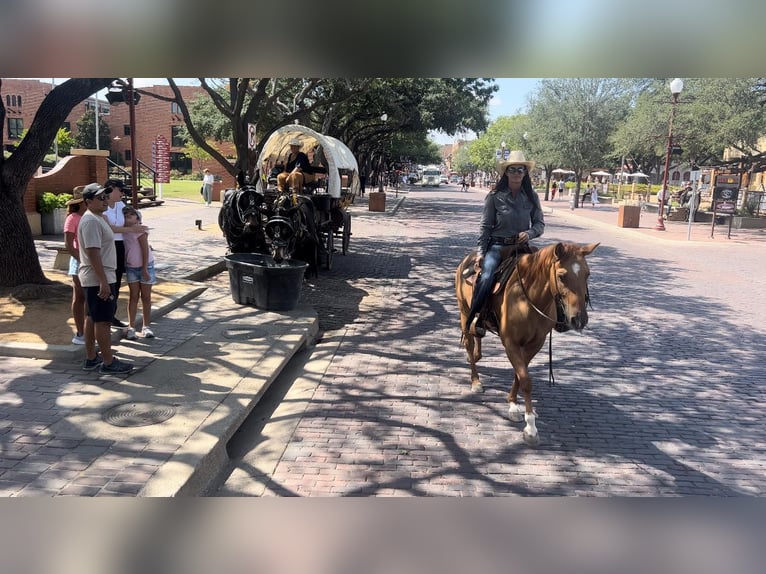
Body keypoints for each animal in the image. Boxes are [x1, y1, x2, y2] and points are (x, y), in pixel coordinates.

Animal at [456, 241, 600, 448]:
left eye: (587, 274)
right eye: (562, 276)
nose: (579, 319)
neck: (530, 299)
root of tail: (467, 259)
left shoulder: (535, 344)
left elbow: (520, 374)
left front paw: (513, 403)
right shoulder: (511, 343)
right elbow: (525, 378)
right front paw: (530, 427)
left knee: (478, 338)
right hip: (464, 312)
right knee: (468, 343)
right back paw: (475, 381)